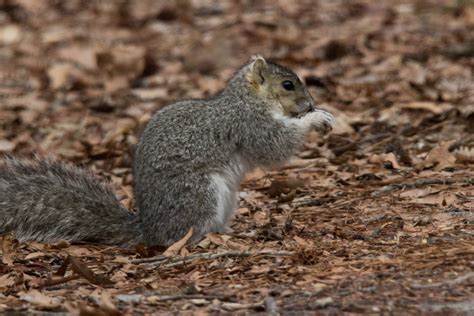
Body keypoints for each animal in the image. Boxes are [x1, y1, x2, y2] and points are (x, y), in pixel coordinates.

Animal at [0, 55, 336, 247]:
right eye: (288, 85)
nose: (310, 104)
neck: (248, 99)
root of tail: (150, 231)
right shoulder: (249, 124)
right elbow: (275, 146)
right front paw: (316, 119)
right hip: (199, 193)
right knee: (188, 234)